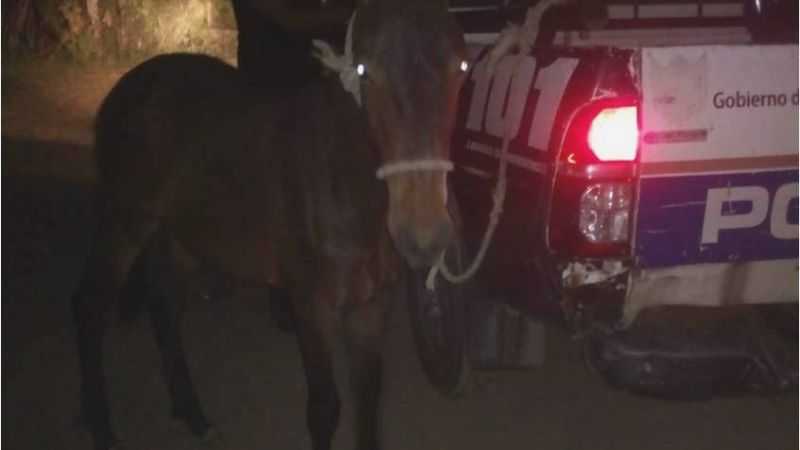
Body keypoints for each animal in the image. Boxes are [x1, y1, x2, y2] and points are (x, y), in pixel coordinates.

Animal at [71, 1, 468, 449]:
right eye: (365, 69)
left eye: (462, 66)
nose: (423, 234)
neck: (341, 184)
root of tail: (125, 87)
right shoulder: (311, 306)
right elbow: (324, 409)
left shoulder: (371, 309)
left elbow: (367, 404)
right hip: (125, 221)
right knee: (91, 306)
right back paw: (101, 426)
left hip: (185, 236)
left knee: (164, 304)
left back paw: (194, 415)